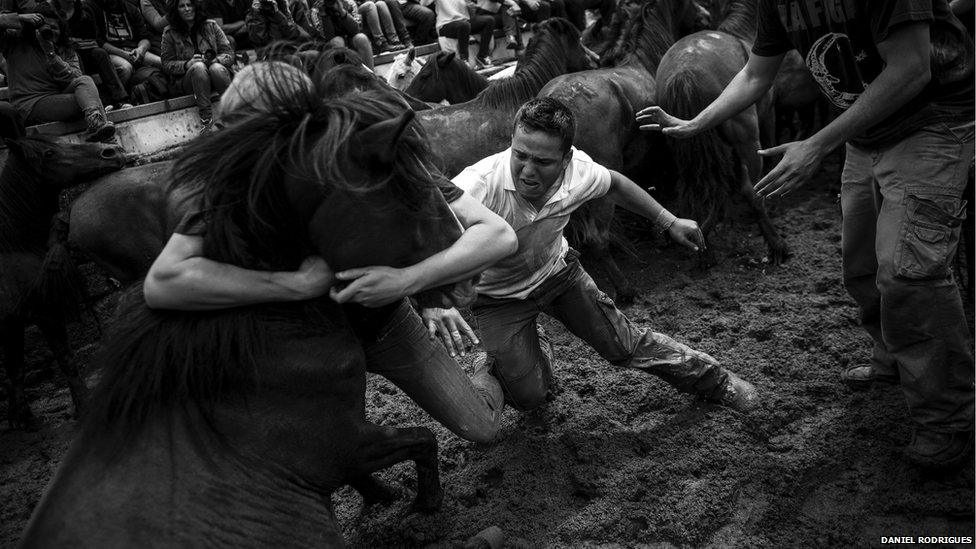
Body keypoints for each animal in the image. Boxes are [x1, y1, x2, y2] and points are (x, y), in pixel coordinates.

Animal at [0, 136, 124, 428]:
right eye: (49, 153)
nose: (111, 151)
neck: (12, 249)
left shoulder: (12, 322)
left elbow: (16, 368)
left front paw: (22, 418)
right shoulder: (45, 312)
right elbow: (66, 358)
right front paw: (83, 405)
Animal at [21, 76, 476, 544]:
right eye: (412, 193)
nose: (466, 281)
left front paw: (390, 498)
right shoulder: (345, 444)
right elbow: (422, 439)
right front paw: (424, 505)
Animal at [652, 0, 788, 264]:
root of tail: (684, 73)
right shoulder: (768, 115)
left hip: (685, 142)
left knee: (707, 185)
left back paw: (701, 242)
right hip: (746, 135)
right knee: (749, 190)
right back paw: (776, 246)